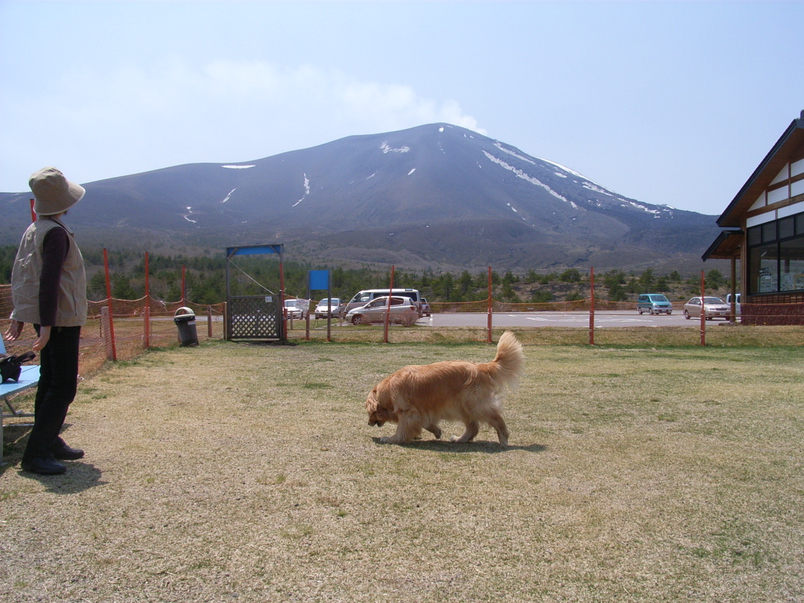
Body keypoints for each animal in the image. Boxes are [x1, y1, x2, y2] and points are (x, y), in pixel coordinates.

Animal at [362, 330, 520, 448]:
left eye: (370, 413)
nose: (368, 423)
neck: (388, 389)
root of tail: (480, 367)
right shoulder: (421, 412)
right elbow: (427, 424)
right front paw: (436, 432)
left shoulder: (408, 412)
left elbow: (402, 429)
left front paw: (392, 439)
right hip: (462, 406)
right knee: (473, 427)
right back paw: (460, 439)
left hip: (475, 405)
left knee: (495, 419)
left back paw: (503, 438)